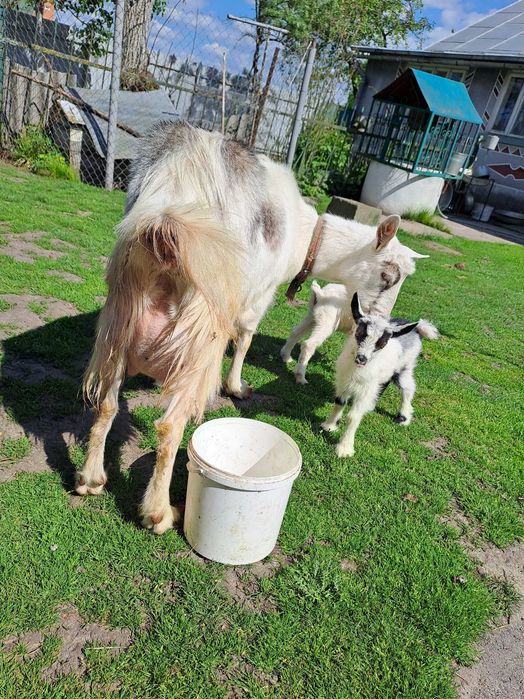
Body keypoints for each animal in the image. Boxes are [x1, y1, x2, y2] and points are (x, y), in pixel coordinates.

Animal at [321, 292, 439, 458]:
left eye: (382, 343)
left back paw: (403, 417)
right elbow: (339, 402)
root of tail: (417, 329)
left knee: (408, 388)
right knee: (385, 383)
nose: (362, 358)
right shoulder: (343, 382)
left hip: (404, 368)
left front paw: (344, 449)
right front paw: (329, 426)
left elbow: (353, 416)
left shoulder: (365, 389)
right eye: (359, 333)